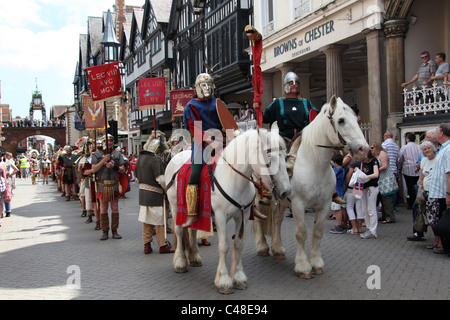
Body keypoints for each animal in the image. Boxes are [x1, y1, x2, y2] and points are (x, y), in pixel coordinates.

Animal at [165, 123, 292, 296]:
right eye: (268, 156)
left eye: (285, 155)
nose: (286, 191)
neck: (234, 178)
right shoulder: (220, 216)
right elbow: (224, 246)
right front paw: (224, 281)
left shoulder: (243, 215)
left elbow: (238, 244)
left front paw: (238, 277)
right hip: (174, 206)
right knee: (179, 231)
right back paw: (180, 262)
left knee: (193, 229)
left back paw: (195, 257)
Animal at [255, 95, 368, 278]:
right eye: (341, 120)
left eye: (355, 118)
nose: (364, 149)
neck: (315, 165)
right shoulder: (298, 205)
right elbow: (301, 233)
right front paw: (303, 266)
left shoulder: (324, 205)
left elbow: (318, 232)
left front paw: (316, 262)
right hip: (260, 198)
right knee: (259, 219)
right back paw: (262, 247)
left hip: (282, 201)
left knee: (277, 220)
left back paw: (278, 249)